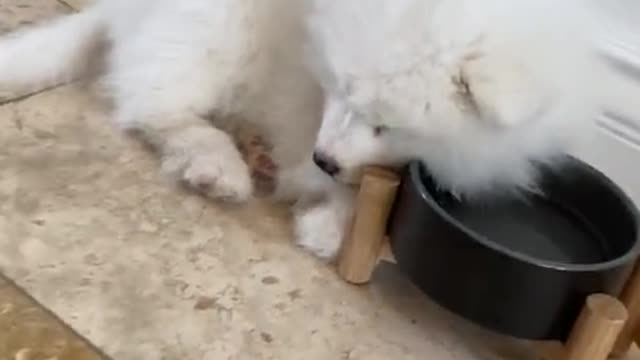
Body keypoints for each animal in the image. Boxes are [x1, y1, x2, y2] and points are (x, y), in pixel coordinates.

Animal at [0, 0, 620, 258]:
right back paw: (217, 162)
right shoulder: (301, 85)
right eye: (341, 87)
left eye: (386, 123)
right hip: (214, 26)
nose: (324, 160)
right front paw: (330, 220)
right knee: (152, 100)